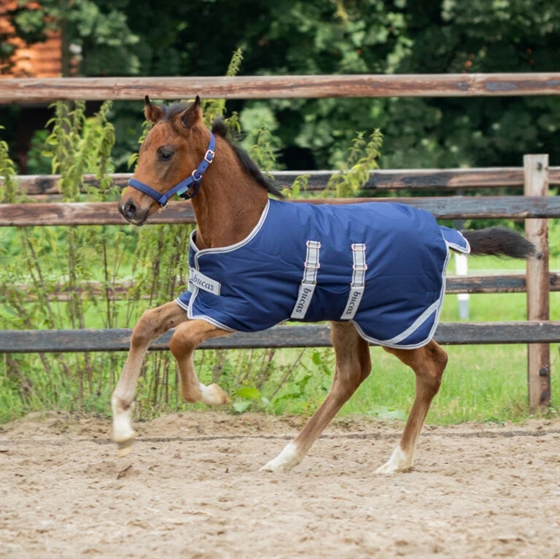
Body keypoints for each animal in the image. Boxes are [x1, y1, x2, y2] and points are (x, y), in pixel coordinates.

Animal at [112, 97, 532, 472]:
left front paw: (213, 395)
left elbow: (181, 340)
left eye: (165, 152)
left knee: (431, 366)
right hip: (349, 319)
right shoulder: (201, 299)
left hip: (396, 324)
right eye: (142, 149)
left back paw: (397, 461)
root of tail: (443, 232)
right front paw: (122, 430)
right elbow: (146, 324)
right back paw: (285, 458)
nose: (129, 207)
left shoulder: (245, 309)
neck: (241, 223)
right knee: (352, 375)